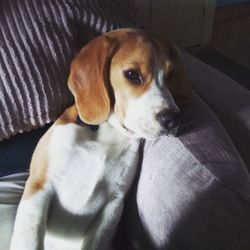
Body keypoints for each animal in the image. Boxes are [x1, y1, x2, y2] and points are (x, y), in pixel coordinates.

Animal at [9, 28, 189, 249]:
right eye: (132, 75)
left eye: (171, 75)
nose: (173, 119)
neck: (109, 133)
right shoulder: (39, 185)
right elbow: (30, 238)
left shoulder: (113, 204)